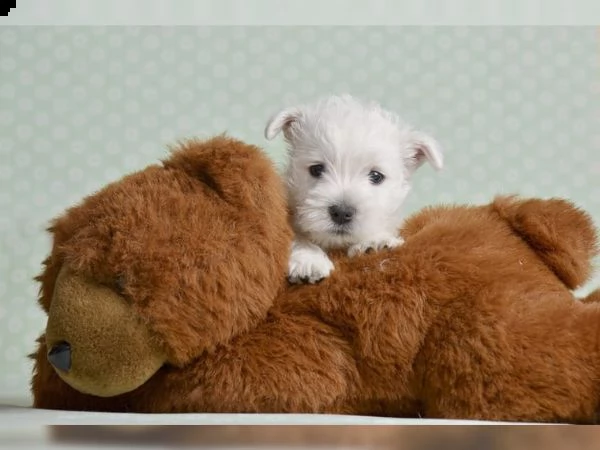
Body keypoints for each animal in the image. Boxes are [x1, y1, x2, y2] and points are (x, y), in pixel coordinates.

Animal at [264, 95, 442, 284]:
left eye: (376, 176)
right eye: (316, 169)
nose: (342, 213)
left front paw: (375, 243)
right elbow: (295, 237)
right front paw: (309, 260)